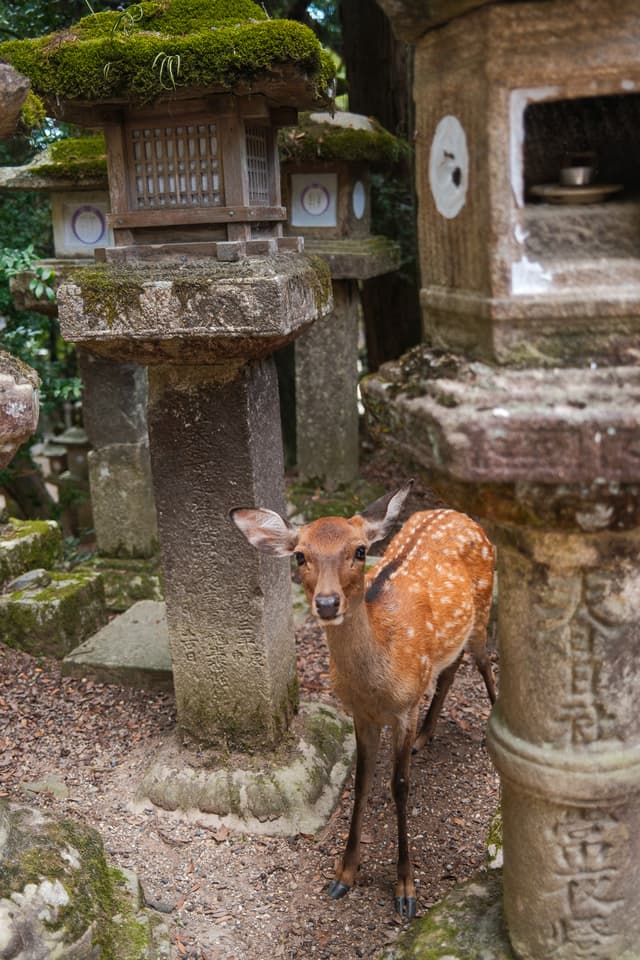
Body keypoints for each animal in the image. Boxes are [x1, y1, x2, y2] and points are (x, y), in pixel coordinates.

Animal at [230, 480, 496, 920]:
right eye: (300, 554)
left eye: (358, 551)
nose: (326, 603)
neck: (377, 684)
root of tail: (459, 513)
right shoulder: (360, 714)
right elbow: (361, 782)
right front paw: (344, 874)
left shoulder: (404, 708)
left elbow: (399, 785)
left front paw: (406, 889)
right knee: (449, 669)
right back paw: (427, 736)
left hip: (484, 612)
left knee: (484, 663)